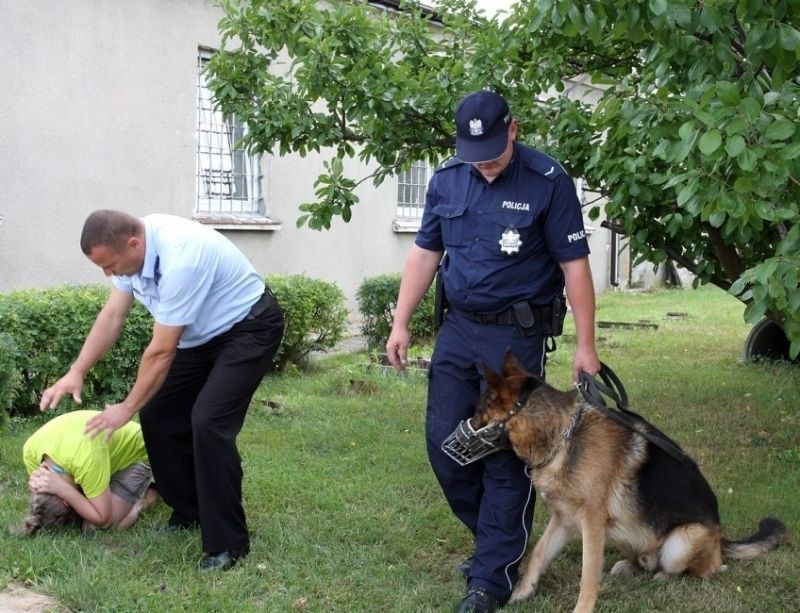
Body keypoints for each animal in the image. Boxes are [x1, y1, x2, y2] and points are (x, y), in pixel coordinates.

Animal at [472, 350, 792, 612]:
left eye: (479, 410)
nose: (465, 426)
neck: (563, 435)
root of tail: (720, 538)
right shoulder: (565, 519)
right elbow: (539, 552)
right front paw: (522, 592)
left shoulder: (591, 521)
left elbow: (589, 573)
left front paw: (582, 609)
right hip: (623, 530)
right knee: (642, 560)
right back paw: (630, 565)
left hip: (682, 541)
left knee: (708, 568)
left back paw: (668, 575)